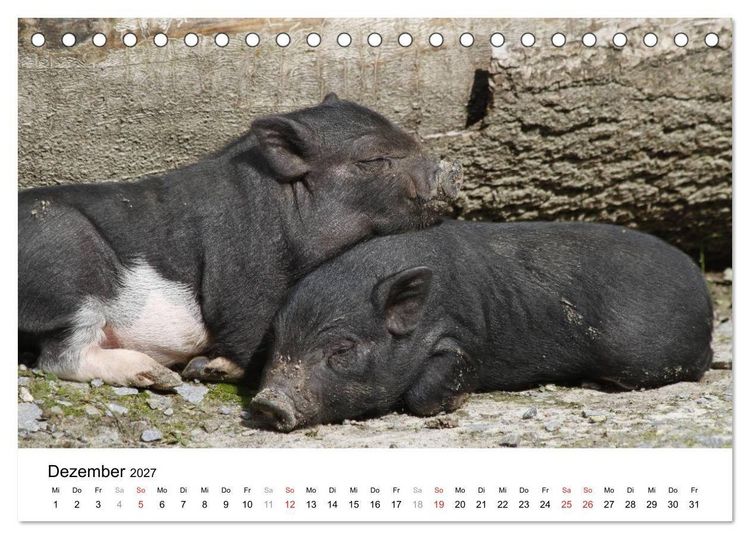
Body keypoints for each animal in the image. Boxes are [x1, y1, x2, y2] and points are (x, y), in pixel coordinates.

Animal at [18, 94, 462, 389]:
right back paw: (159, 376)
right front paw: (209, 369)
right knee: (59, 358)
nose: (450, 169)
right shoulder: (244, 275)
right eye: (372, 160)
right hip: (67, 261)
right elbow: (247, 327)